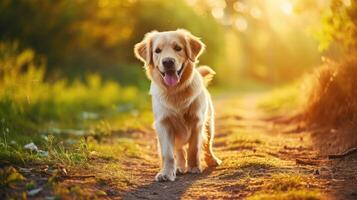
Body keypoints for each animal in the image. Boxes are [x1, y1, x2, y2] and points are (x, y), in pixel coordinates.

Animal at [134, 29, 220, 181]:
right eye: (157, 51)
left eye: (178, 48)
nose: (168, 61)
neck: (175, 92)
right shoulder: (163, 124)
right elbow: (168, 154)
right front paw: (167, 173)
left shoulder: (197, 122)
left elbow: (194, 149)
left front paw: (194, 167)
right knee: (179, 151)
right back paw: (179, 167)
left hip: (209, 125)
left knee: (207, 145)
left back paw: (212, 160)